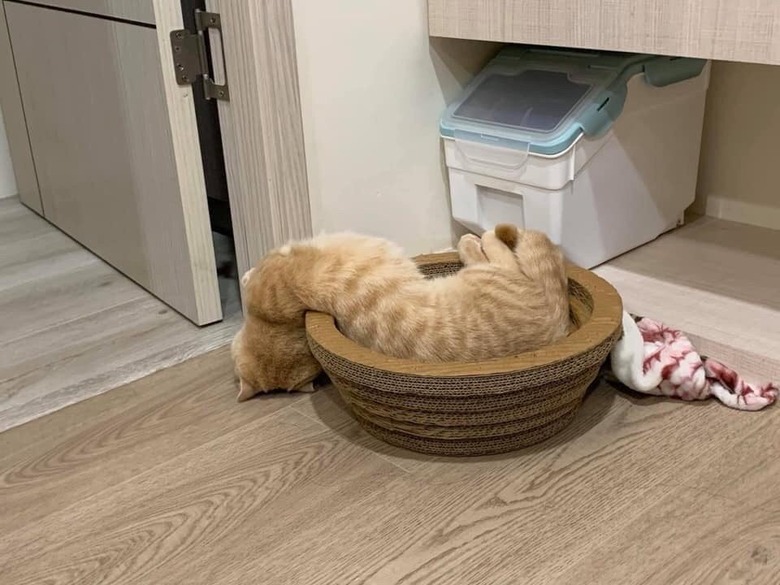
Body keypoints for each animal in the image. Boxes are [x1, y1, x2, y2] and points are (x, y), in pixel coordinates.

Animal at [230, 224, 568, 402]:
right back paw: (475, 238)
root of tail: (555, 328)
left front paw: (245, 276)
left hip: (489, 273)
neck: (283, 324)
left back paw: (475, 237)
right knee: (498, 253)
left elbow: (257, 271)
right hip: (488, 274)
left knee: (497, 250)